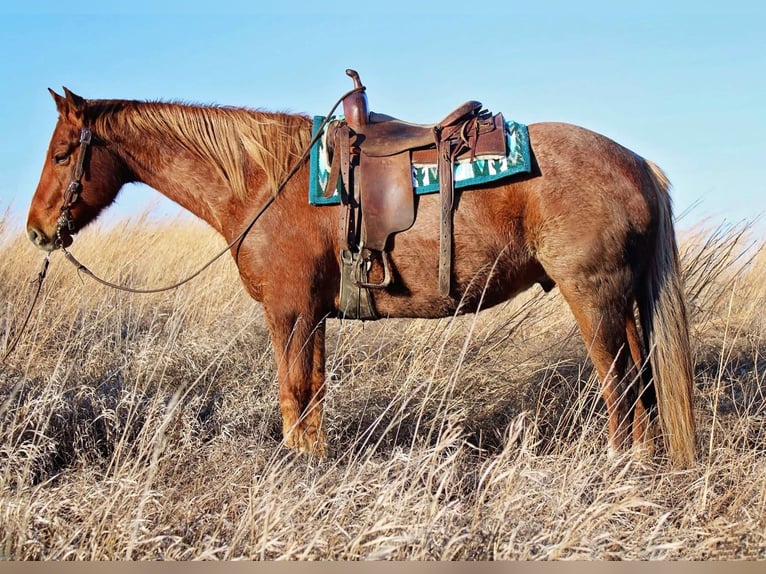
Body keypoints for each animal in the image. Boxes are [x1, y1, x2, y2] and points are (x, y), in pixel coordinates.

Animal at [25, 89, 696, 468]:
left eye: (61, 154)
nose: (35, 230)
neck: (263, 181)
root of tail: (637, 163)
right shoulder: (313, 315)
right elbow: (314, 394)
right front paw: (318, 462)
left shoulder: (290, 312)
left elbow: (293, 394)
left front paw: (297, 467)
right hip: (622, 302)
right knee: (642, 382)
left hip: (595, 298)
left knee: (620, 386)